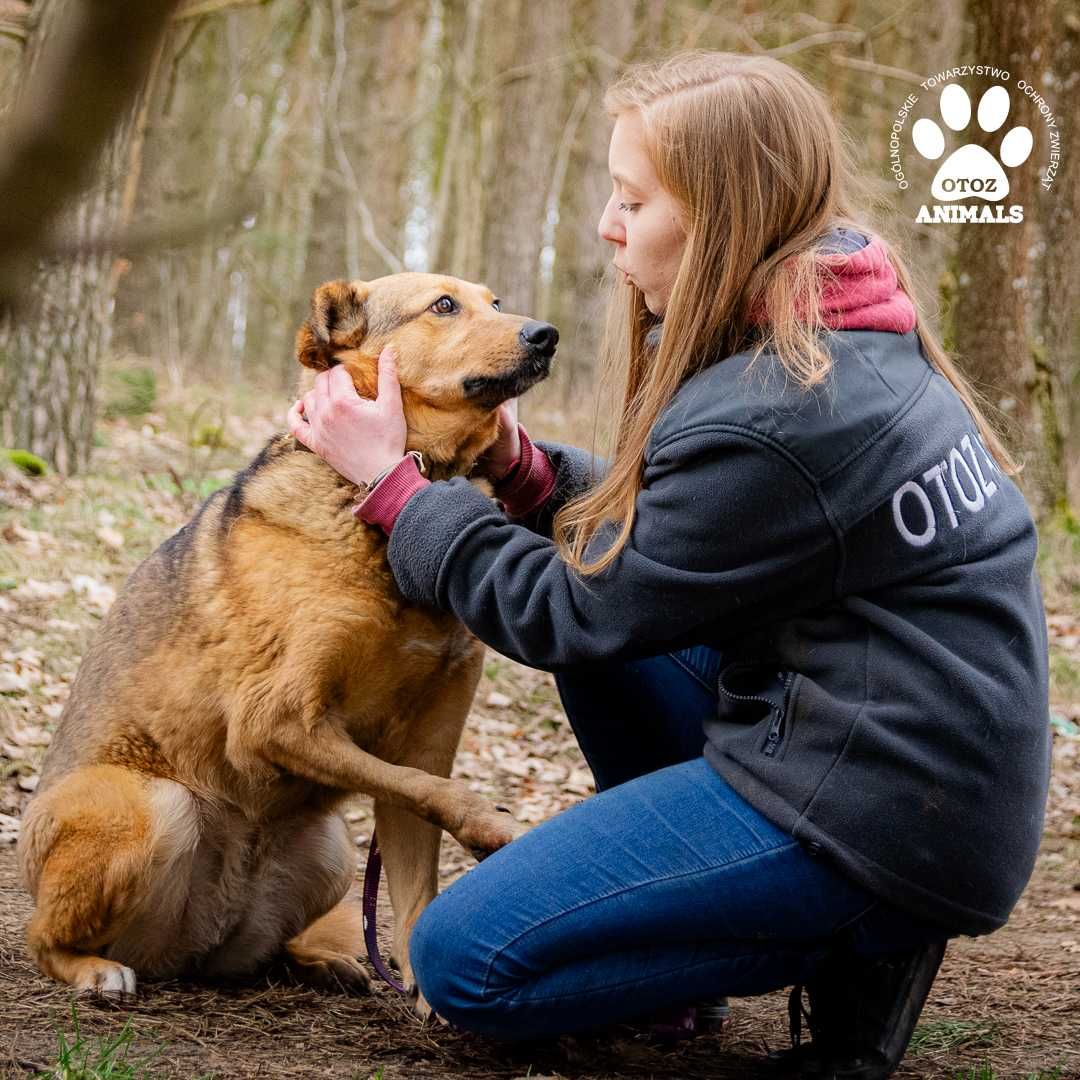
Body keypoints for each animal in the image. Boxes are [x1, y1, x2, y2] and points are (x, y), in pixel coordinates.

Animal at [16, 274, 557, 1015]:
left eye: (495, 302)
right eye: (444, 306)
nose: (547, 334)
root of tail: (198, 943)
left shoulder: (423, 742)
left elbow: (417, 867)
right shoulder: (275, 719)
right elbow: (431, 789)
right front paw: (493, 825)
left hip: (330, 853)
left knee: (270, 946)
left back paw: (320, 960)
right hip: (150, 807)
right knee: (43, 937)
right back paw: (93, 969)